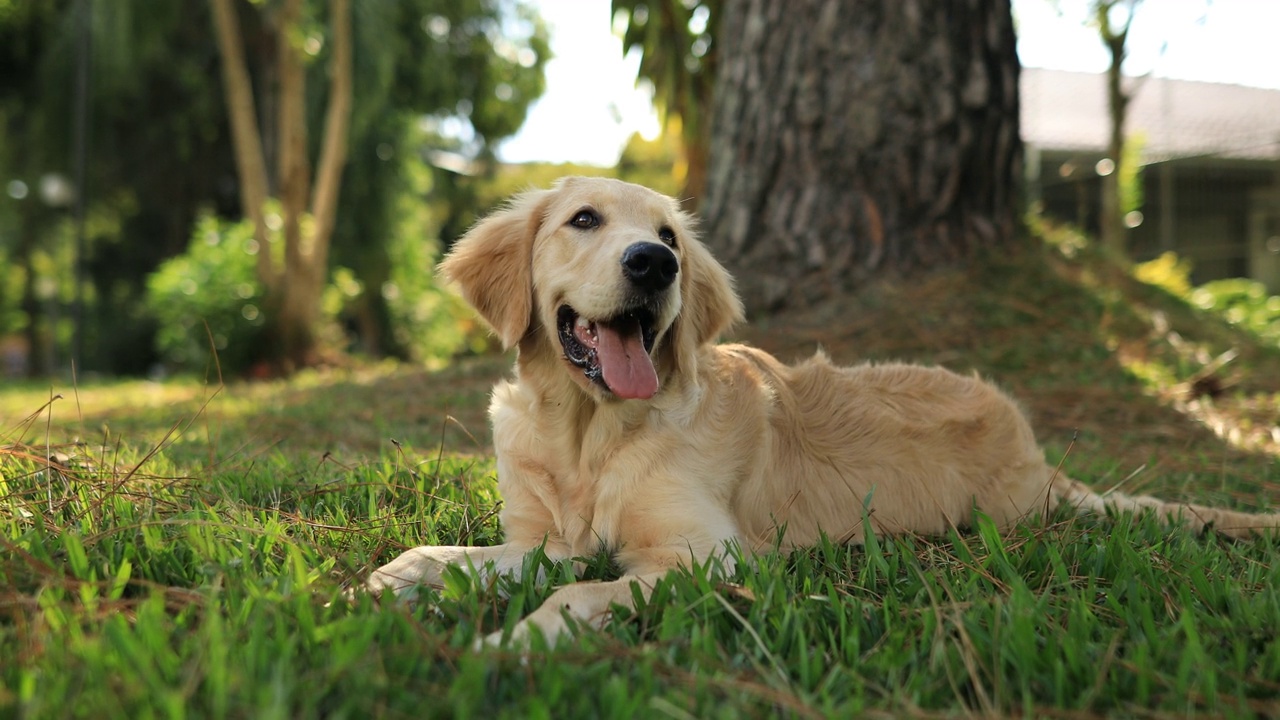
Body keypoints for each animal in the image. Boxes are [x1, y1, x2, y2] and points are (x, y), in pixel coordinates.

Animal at [366, 175, 1274, 645]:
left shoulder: (707, 555)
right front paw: (394, 581)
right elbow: (462, 556)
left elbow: (576, 594)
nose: (654, 263)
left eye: (670, 234)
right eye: (582, 220)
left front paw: (513, 641)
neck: (589, 434)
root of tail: (1038, 462)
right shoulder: (547, 539)